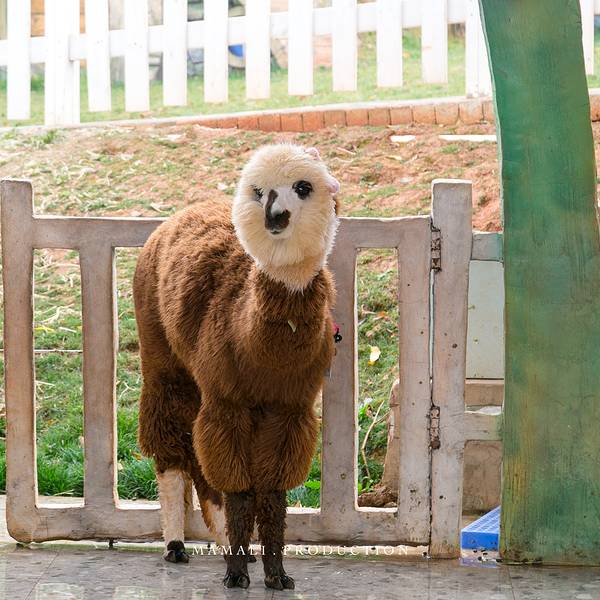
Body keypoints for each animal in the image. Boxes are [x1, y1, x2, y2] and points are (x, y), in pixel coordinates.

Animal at [133, 144, 340, 590]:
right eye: (257, 191)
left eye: (303, 186)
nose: (275, 216)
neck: (267, 358)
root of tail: (184, 212)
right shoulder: (228, 399)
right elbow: (240, 490)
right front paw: (236, 573)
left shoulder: (289, 407)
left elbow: (273, 493)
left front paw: (277, 574)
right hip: (163, 359)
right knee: (172, 449)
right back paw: (177, 545)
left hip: (199, 382)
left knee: (199, 463)